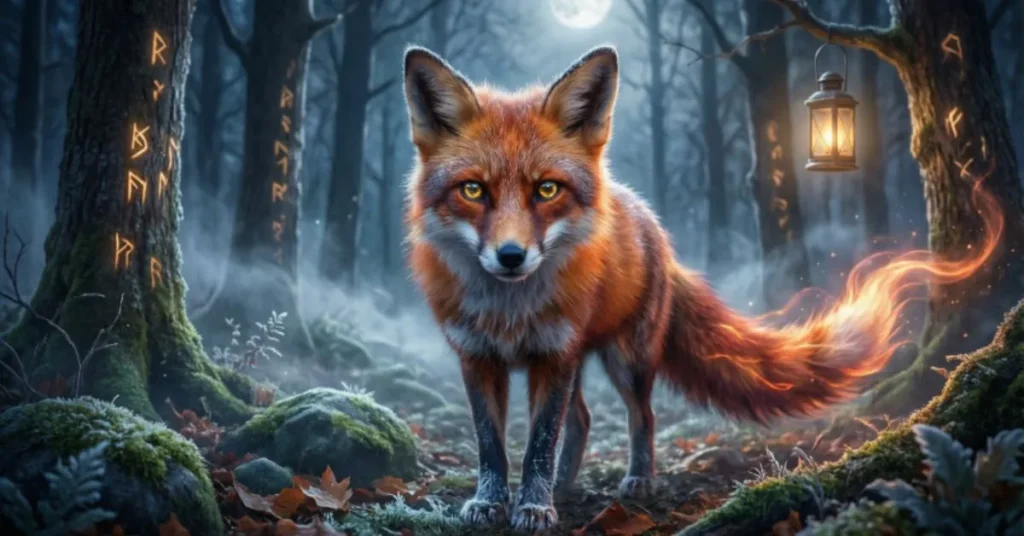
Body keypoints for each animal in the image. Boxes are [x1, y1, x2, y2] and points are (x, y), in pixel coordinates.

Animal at [401, 46, 898, 532]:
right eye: (472, 190)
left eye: (546, 190)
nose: (510, 256)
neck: (509, 311)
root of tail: (647, 216)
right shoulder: (478, 358)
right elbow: (491, 445)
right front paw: (492, 501)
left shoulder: (555, 356)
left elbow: (539, 444)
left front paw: (535, 507)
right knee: (582, 419)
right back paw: (565, 483)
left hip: (626, 360)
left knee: (643, 416)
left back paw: (637, 479)